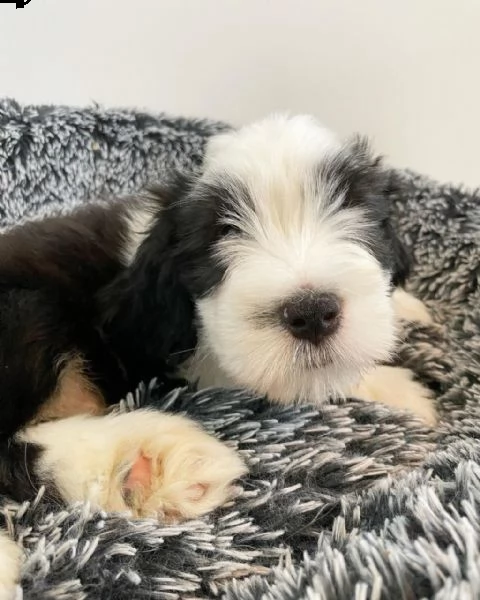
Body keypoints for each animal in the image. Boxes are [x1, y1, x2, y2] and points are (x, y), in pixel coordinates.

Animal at [0, 116, 436, 592]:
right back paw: (145, 458)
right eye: (223, 233)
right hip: (26, 312)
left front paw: (410, 307)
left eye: (353, 209)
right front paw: (402, 390)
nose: (312, 313)